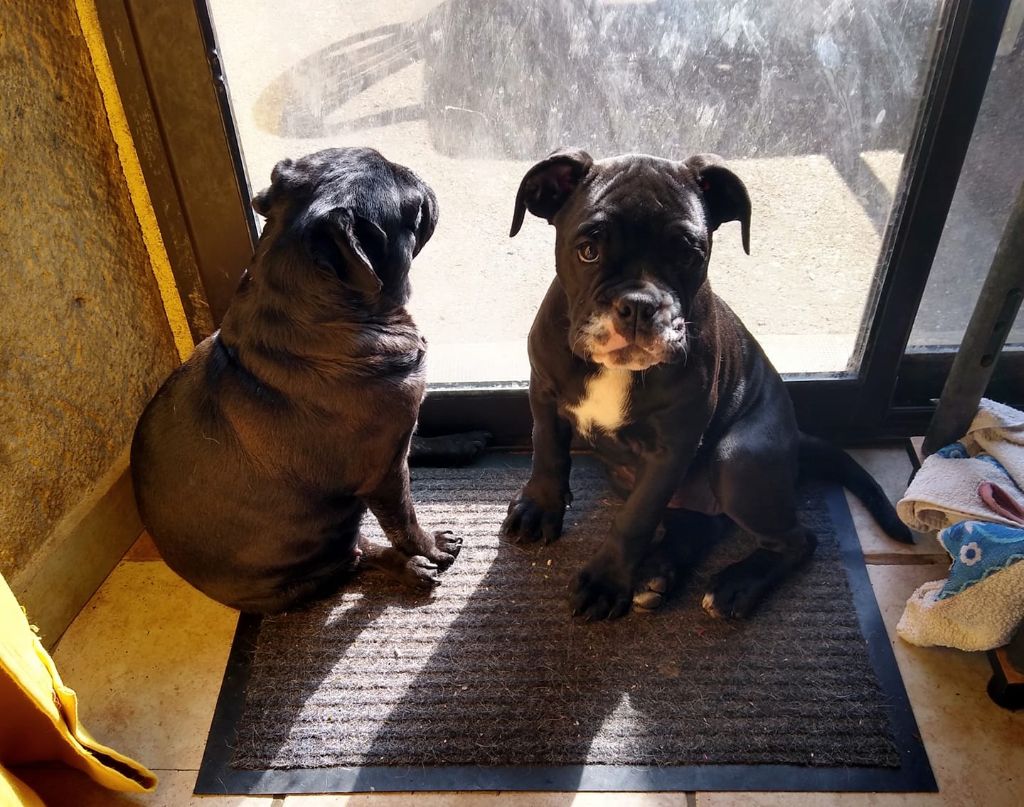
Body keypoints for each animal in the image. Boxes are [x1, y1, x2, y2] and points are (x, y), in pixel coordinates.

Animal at [132, 147, 469, 613]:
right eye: (413, 204)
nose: (413, 170)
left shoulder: (393, 436)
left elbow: (418, 442)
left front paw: (457, 443)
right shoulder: (382, 473)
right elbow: (404, 518)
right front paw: (429, 548)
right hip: (323, 544)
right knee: (357, 555)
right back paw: (410, 568)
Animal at [500, 149, 913, 621]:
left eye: (687, 254)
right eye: (588, 251)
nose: (638, 306)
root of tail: (796, 440)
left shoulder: (670, 450)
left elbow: (634, 519)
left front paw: (606, 581)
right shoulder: (544, 392)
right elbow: (548, 452)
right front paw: (540, 508)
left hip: (737, 458)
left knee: (797, 540)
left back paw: (734, 586)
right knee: (698, 525)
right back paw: (658, 575)